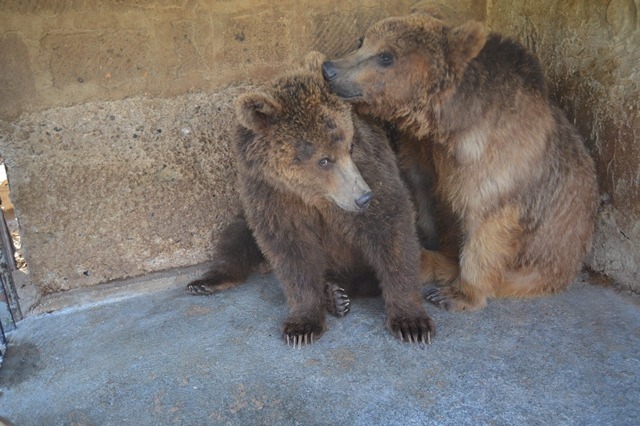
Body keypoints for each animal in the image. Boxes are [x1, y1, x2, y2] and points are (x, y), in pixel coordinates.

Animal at [186, 56, 436, 344]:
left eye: (350, 146)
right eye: (324, 159)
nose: (363, 197)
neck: (311, 193)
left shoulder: (370, 166)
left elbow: (391, 228)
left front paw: (411, 323)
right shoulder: (270, 194)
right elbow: (292, 251)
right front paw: (302, 325)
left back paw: (337, 294)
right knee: (237, 235)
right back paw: (207, 282)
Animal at [322, 15, 596, 312]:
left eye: (386, 56)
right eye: (362, 41)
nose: (329, 69)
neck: (449, 128)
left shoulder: (499, 159)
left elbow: (487, 223)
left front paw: (457, 294)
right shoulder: (420, 149)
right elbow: (417, 191)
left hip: (540, 265)